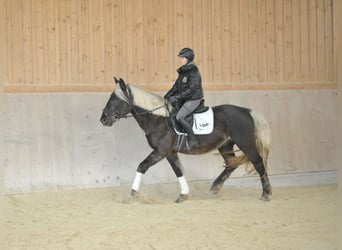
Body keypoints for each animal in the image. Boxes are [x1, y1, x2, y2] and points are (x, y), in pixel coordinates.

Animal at [100, 77, 272, 202]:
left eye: (116, 99)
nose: (103, 119)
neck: (158, 119)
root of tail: (247, 111)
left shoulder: (161, 151)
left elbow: (142, 166)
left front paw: (133, 194)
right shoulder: (170, 153)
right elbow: (179, 171)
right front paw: (183, 195)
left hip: (246, 144)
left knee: (258, 163)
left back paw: (266, 194)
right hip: (225, 146)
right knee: (231, 165)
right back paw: (214, 189)